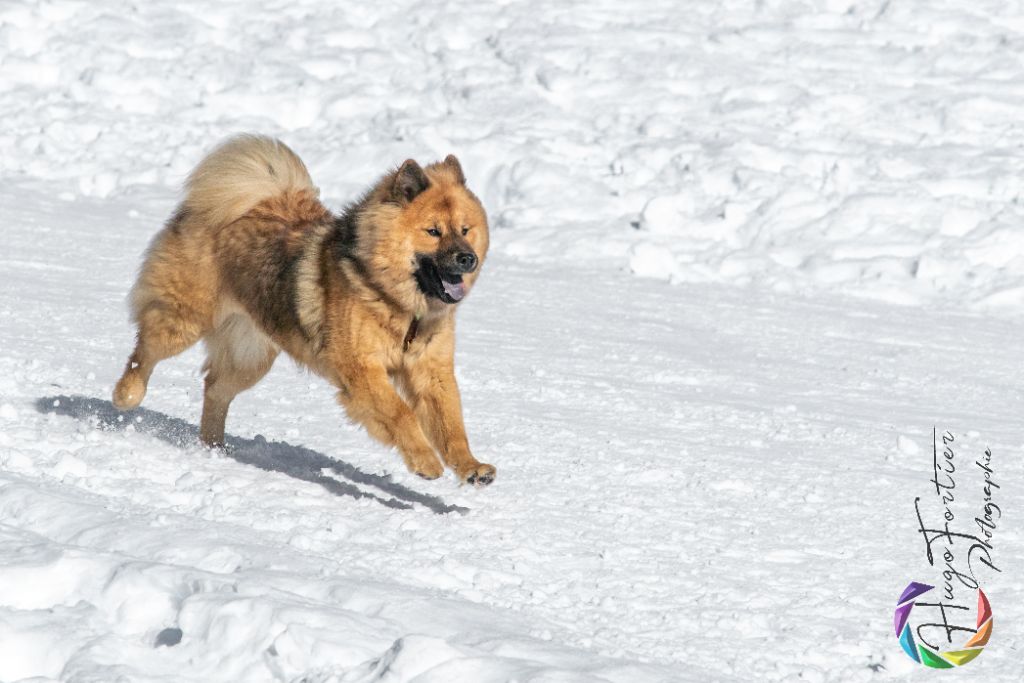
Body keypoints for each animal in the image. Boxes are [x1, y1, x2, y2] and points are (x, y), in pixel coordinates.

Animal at [112, 135, 495, 485]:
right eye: (433, 231)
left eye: (465, 230)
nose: (468, 259)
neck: (395, 302)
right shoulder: (362, 370)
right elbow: (400, 414)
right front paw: (424, 461)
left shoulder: (431, 373)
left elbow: (451, 426)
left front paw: (471, 466)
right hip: (184, 321)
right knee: (144, 352)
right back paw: (126, 395)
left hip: (250, 356)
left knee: (215, 389)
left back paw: (214, 448)